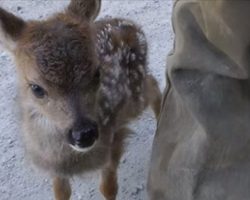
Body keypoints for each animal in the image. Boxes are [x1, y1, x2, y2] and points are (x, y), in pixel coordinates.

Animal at [0, 0, 161, 199]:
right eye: (36, 88)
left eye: (97, 73)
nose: (84, 134)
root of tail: (132, 25)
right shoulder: (54, 165)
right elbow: (61, 192)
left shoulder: (114, 137)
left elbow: (108, 188)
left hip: (135, 95)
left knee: (152, 84)